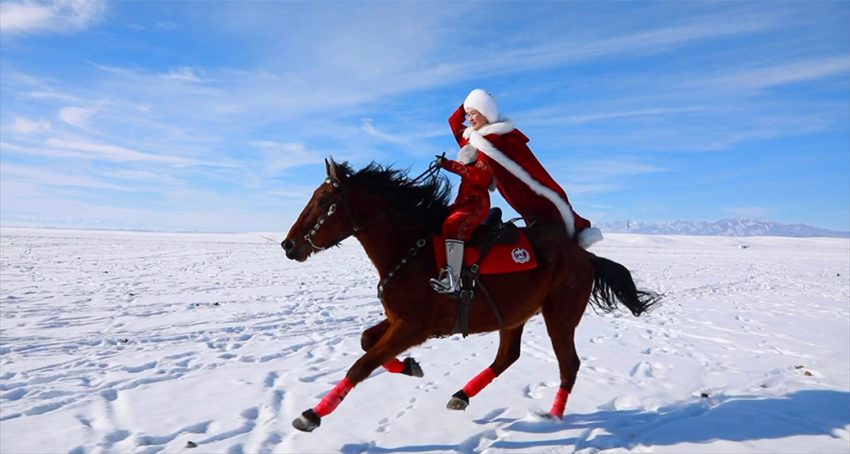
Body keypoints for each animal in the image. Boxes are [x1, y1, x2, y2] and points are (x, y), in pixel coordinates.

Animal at [281, 157, 660, 432]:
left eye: (324, 199)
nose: (288, 245)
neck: (410, 250)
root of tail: (584, 255)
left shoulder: (412, 327)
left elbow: (362, 364)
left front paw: (312, 414)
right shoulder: (399, 320)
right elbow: (365, 342)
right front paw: (410, 366)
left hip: (560, 316)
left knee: (569, 365)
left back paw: (553, 417)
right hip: (514, 314)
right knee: (508, 357)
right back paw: (461, 396)